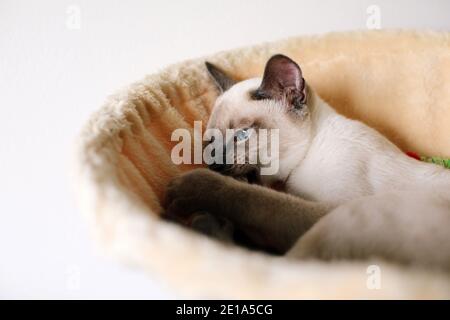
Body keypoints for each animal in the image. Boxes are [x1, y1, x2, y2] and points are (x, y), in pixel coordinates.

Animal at [164, 53, 450, 268]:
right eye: (210, 142)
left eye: (243, 134)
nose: (213, 165)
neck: (307, 154)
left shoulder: (326, 210)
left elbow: (258, 200)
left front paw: (190, 188)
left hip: (345, 219)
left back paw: (203, 222)